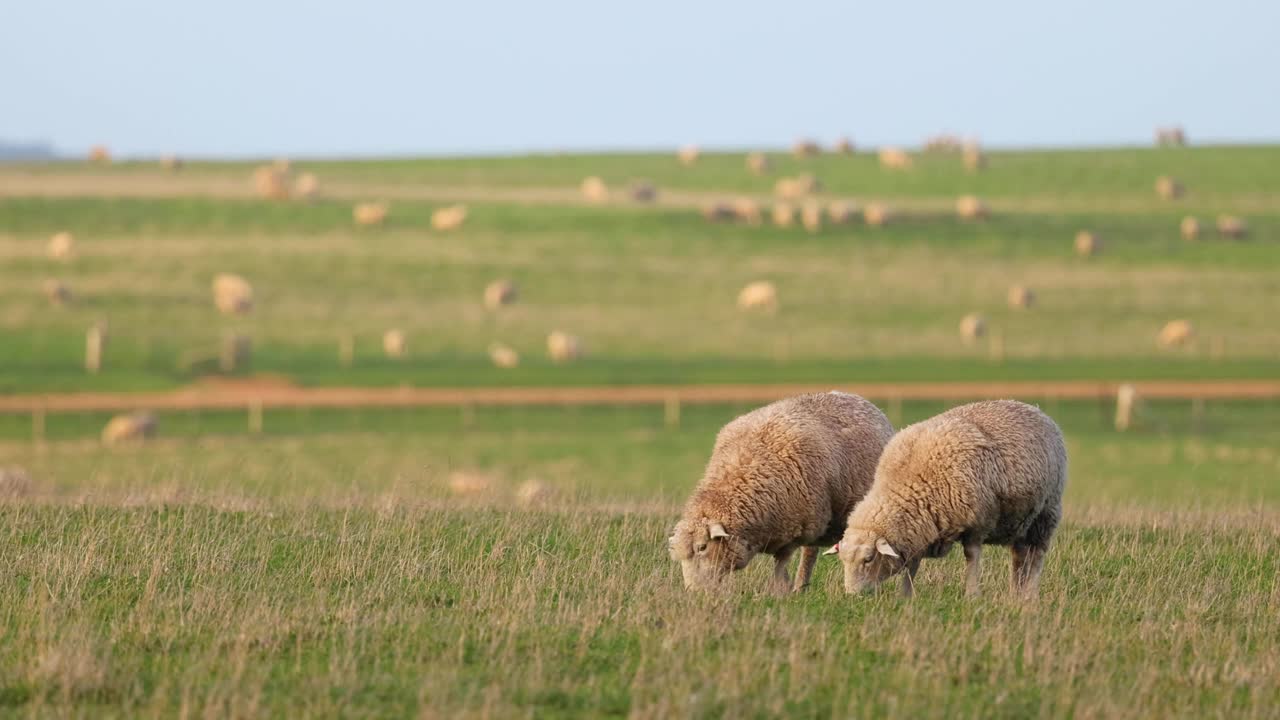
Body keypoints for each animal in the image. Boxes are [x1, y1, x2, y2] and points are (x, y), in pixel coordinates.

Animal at [670, 392, 901, 589]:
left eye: (702, 547)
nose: (694, 592)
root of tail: (856, 397)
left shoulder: (795, 528)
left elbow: (781, 565)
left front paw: (780, 591)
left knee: (809, 553)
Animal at [834, 399, 1064, 597]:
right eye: (843, 560)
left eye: (868, 559)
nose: (852, 595)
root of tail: (1032, 408)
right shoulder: (921, 526)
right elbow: (913, 564)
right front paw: (905, 596)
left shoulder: (977, 523)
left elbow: (972, 557)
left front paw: (972, 594)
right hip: (1021, 523)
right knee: (1019, 557)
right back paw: (1016, 594)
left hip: (1046, 514)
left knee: (1037, 557)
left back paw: (1030, 595)